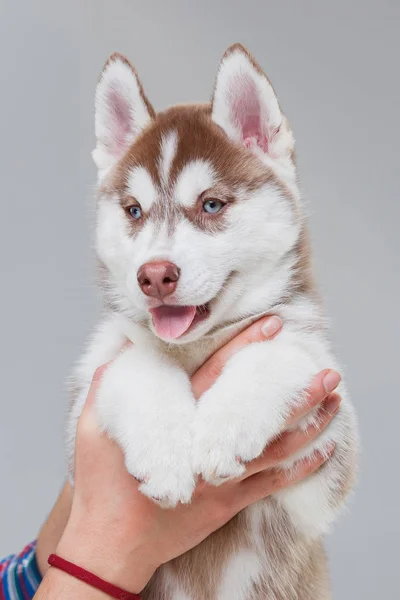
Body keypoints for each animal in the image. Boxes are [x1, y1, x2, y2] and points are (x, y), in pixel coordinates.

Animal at [67, 43, 358, 600]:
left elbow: (280, 351)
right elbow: (139, 365)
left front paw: (225, 428)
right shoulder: (81, 428)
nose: (154, 276)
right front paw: (165, 453)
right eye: (133, 211)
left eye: (211, 204)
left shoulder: (324, 468)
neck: (198, 347)